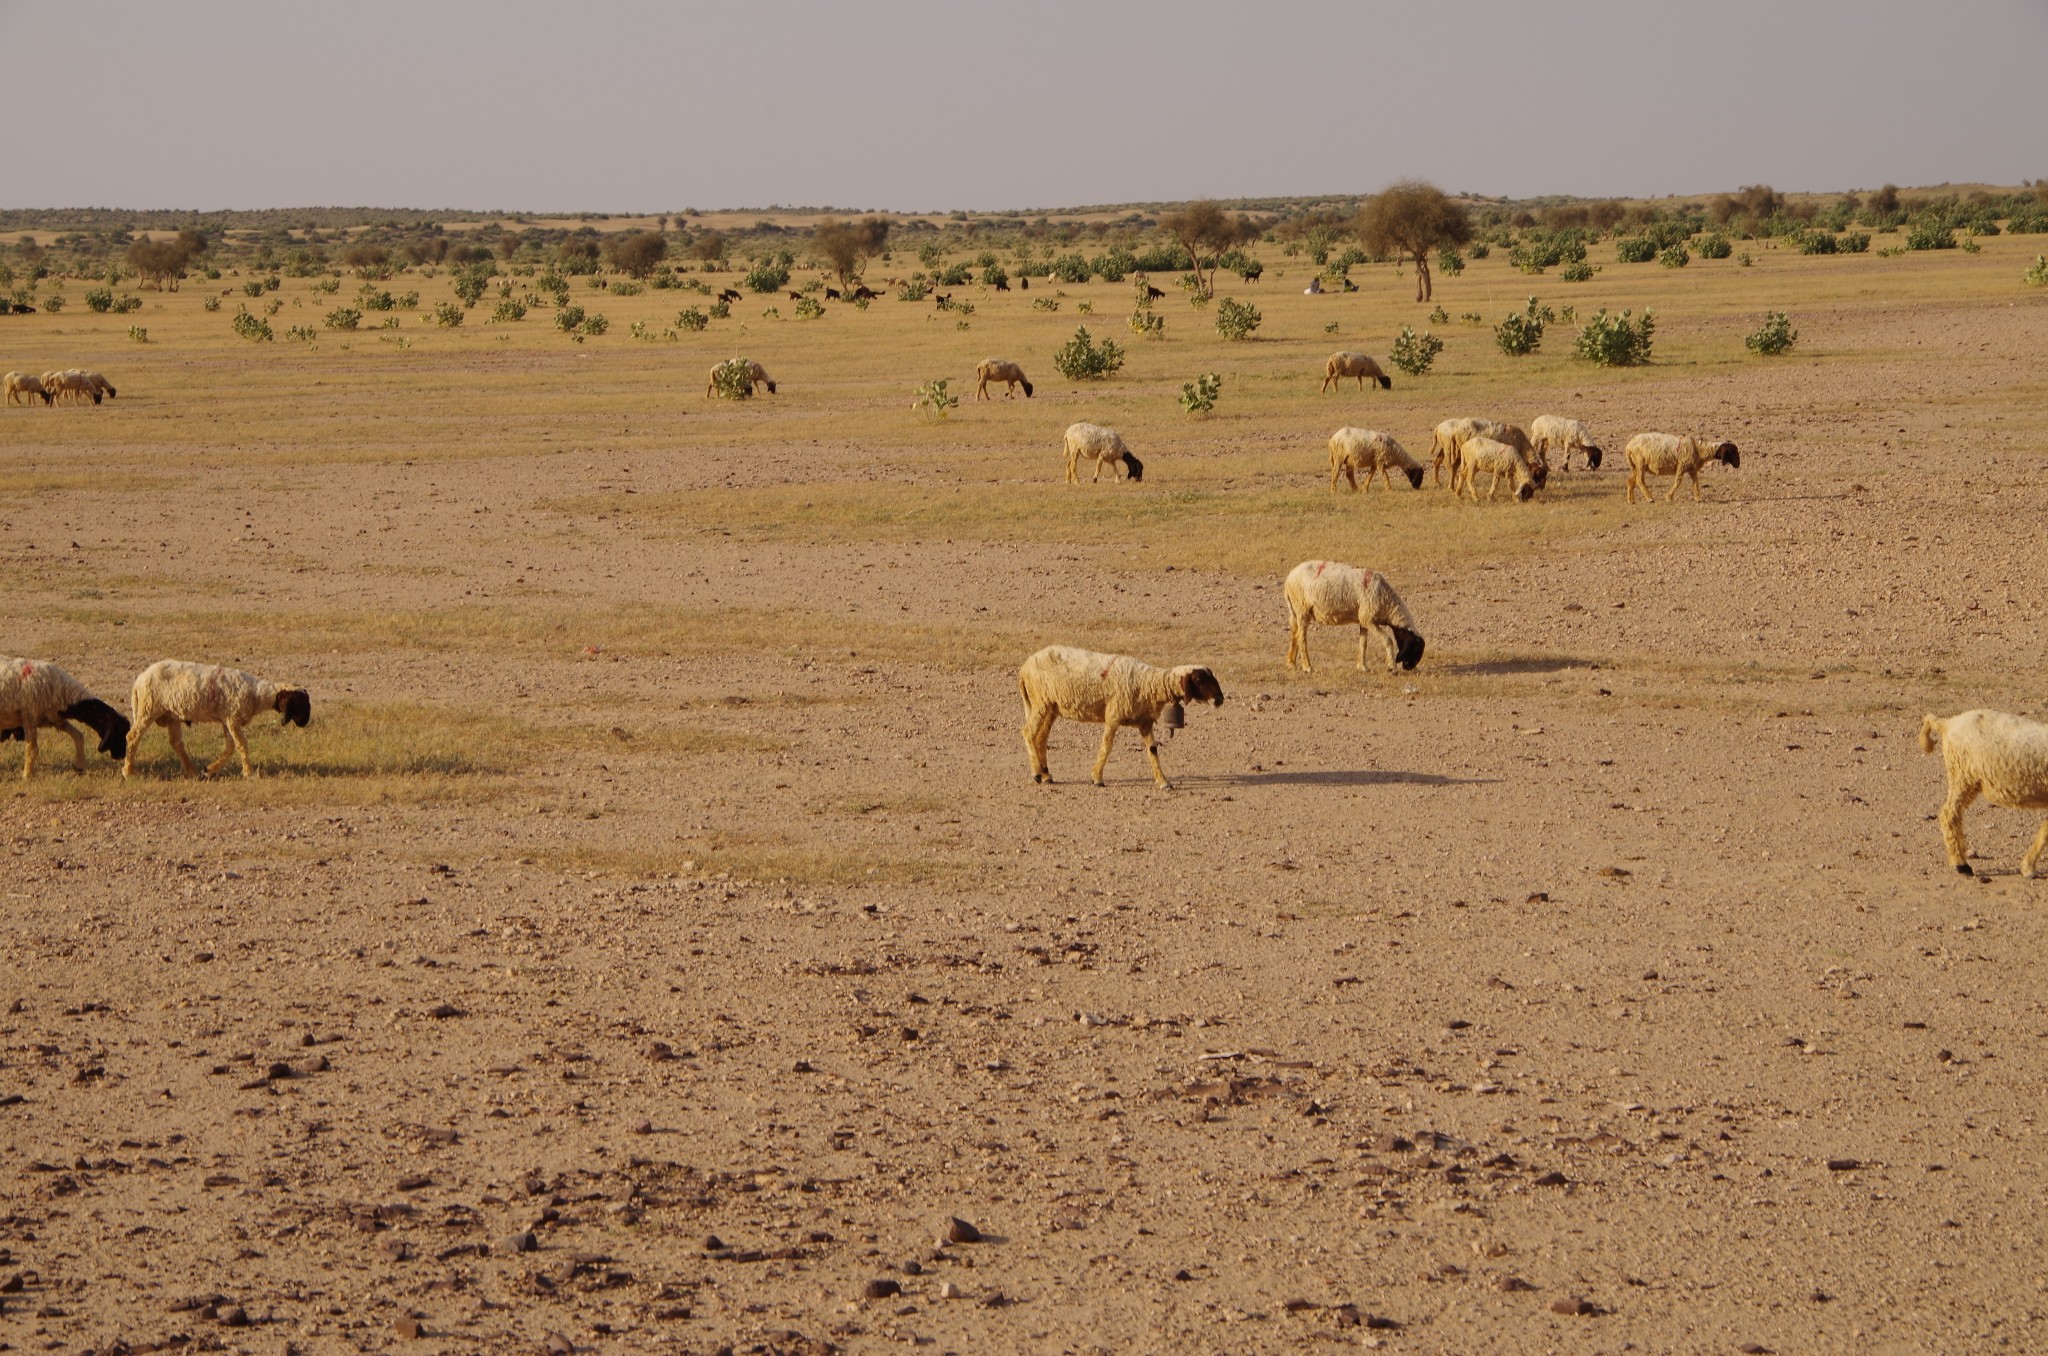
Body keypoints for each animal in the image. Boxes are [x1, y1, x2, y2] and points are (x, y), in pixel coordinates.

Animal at [0, 659, 132, 782]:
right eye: (119, 732)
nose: (121, 755)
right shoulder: (30, 716)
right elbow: (32, 749)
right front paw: (27, 775)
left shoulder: (55, 719)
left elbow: (78, 736)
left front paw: (81, 766)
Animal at [119, 659, 309, 782]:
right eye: (300, 703)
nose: (305, 723)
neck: (256, 694)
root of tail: (139, 679)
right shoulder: (233, 718)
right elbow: (242, 745)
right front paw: (249, 772)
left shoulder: (227, 721)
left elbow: (230, 747)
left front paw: (208, 770)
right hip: (147, 709)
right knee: (132, 737)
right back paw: (129, 771)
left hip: (171, 714)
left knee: (176, 743)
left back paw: (194, 772)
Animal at [1019, 647, 1220, 790]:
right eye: (1199, 679)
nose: (1220, 698)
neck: (1147, 682)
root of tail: (1024, 668)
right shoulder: (1113, 715)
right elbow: (1107, 746)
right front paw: (1097, 778)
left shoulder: (1145, 722)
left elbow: (1153, 750)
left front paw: (1164, 782)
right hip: (1041, 702)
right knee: (1028, 732)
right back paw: (1036, 773)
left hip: (1051, 706)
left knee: (1041, 737)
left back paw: (1046, 775)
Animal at [1277, 561, 1425, 675]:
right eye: (1415, 647)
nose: (1409, 667)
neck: (1387, 603)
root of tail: (1288, 580)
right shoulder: (1368, 618)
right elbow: (1387, 640)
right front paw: (1392, 668)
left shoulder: (1363, 619)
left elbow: (1363, 643)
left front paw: (1362, 667)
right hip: (1302, 608)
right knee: (1302, 638)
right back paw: (1307, 667)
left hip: (1295, 610)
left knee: (1294, 634)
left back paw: (1291, 663)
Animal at [1908, 712, 2048, 880]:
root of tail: (1947, 723)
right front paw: (2028, 868)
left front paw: (2027, 867)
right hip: (1961, 774)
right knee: (1948, 815)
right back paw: (1960, 864)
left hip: (1967, 779)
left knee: (1956, 816)